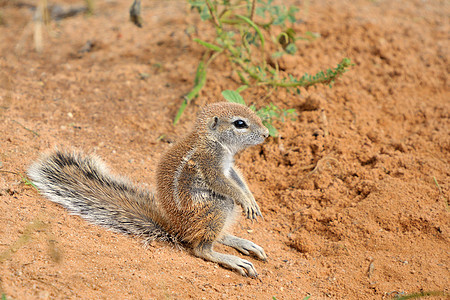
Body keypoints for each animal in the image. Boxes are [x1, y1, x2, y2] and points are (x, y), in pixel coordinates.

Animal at [29, 102, 268, 276]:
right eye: (240, 123)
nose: (266, 134)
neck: (213, 140)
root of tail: (175, 229)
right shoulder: (210, 163)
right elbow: (222, 183)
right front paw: (245, 199)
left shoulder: (229, 167)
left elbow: (237, 179)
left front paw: (250, 198)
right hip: (217, 205)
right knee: (201, 247)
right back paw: (232, 259)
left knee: (212, 237)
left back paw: (241, 242)